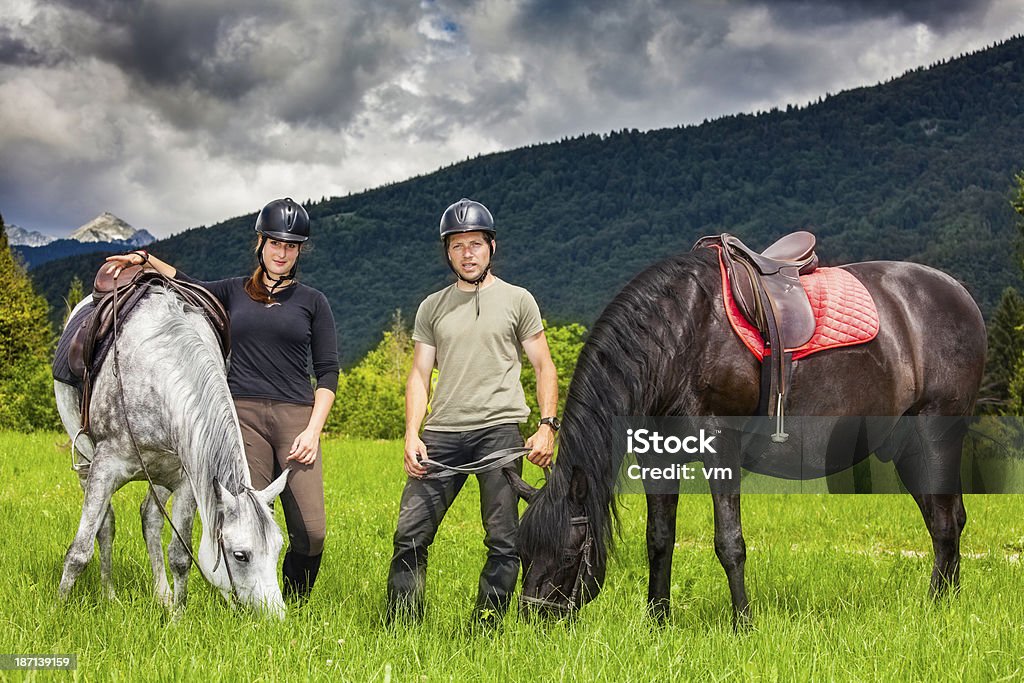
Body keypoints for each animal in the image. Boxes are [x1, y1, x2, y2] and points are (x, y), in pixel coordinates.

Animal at [54, 282, 290, 618]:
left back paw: (161, 594)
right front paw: (58, 610)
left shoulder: (189, 480)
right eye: (240, 555)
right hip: (86, 462)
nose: (275, 617)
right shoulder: (105, 466)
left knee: (150, 519)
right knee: (105, 526)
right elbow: (80, 550)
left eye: (278, 548)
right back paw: (109, 594)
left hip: (159, 475)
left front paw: (177, 616)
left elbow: (180, 556)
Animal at [507, 245, 987, 626]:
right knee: (947, 518)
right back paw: (948, 602)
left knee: (945, 524)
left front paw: (743, 623)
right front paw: (657, 622)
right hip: (907, 449)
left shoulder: (721, 446)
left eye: (568, 555)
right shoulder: (657, 456)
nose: (533, 620)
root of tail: (958, 291)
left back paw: (937, 609)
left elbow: (729, 543)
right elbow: (658, 540)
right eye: (524, 552)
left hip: (936, 434)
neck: (679, 335)